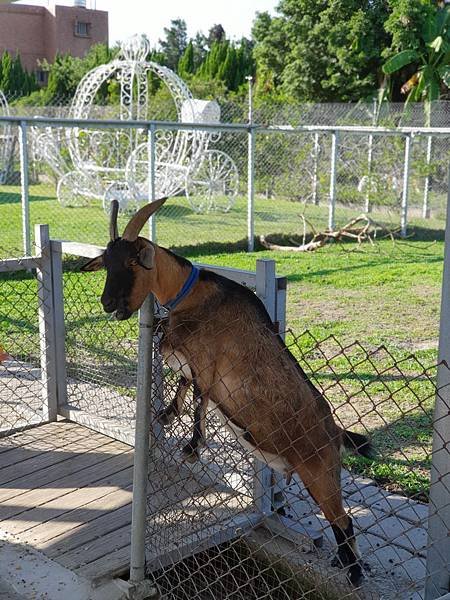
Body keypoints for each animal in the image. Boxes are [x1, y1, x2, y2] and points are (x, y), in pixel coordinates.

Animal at [82, 199, 370, 584]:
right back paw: (343, 563)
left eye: (132, 261)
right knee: (341, 521)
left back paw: (353, 572)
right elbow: (184, 383)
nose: (108, 303)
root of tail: (336, 431)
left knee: (343, 519)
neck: (192, 293)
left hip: (320, 472)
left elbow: (199, 396)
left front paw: (192, 446)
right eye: (107, 263)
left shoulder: (207, 362)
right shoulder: (188, 358)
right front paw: (167, 414)